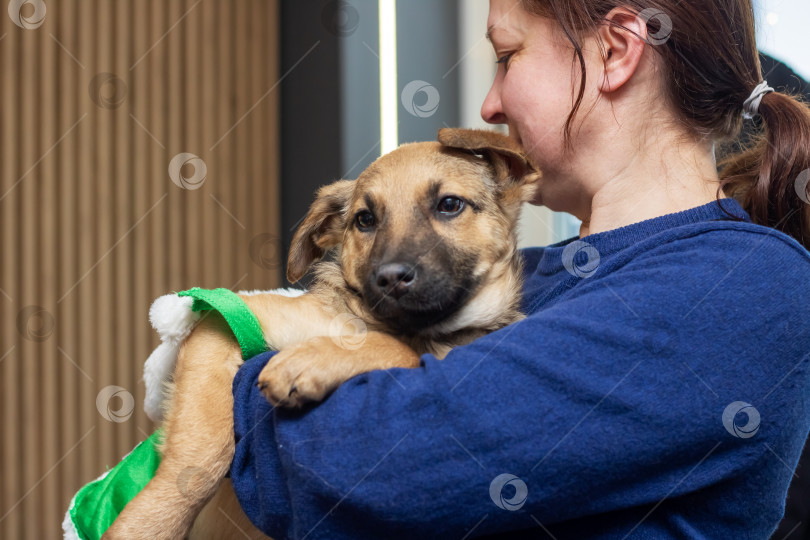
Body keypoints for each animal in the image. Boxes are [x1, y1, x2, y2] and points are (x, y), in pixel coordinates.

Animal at [104, 129, 540, 536]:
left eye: (450, 204)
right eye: (365, 220)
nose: (390, 278)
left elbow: (401, 351)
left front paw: (312, 361)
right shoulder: (229, 315)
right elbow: (196, 457)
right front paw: (149, 523)